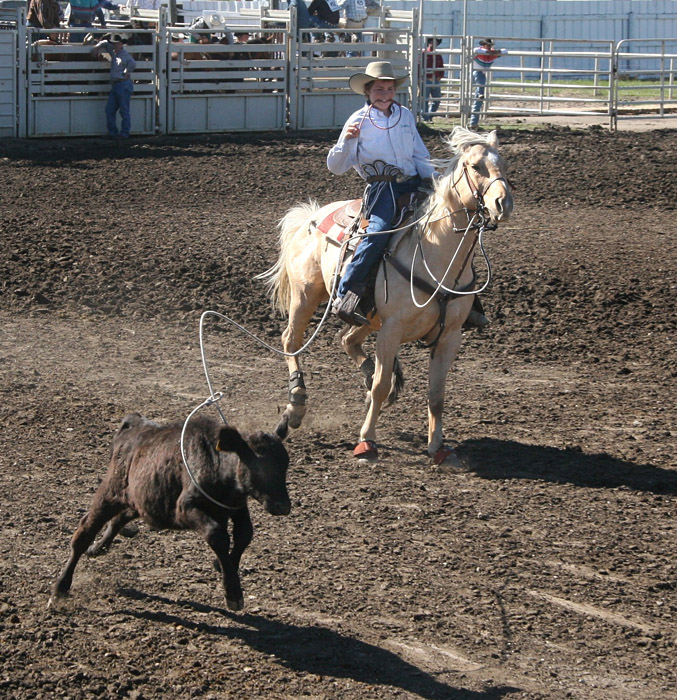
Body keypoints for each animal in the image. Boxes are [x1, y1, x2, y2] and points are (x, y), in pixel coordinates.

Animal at [260, 127, 512, 464]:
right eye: (475, 167)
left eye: (504, 164)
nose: (503, 203)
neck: (436, 253)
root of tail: (311, 217)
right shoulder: (391, 330)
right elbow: (380, 386)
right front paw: (367, 441)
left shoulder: (450, 336)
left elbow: (436, 394)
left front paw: (438, 447)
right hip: (306, 296)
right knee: (291, 341)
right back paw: (295, 406)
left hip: (367, 316)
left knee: (346, 339)